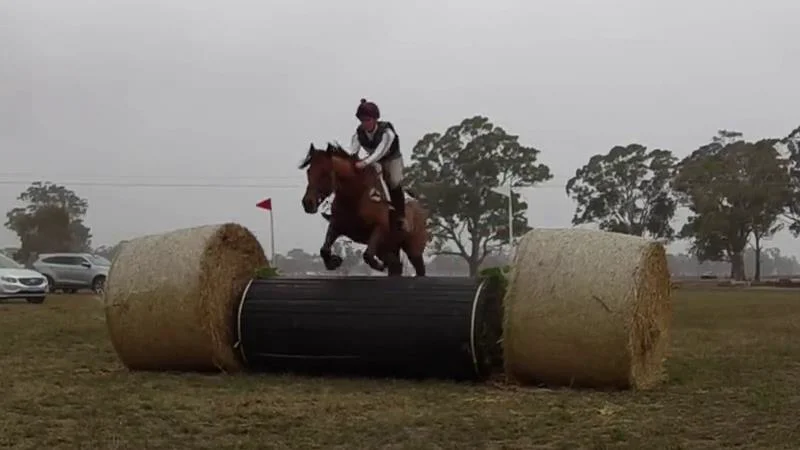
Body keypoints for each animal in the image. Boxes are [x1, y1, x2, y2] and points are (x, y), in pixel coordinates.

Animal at [296, 142, 428, 276]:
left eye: (325, 173)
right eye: (308, 172)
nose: (307, 203)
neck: (356, 195)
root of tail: (419, 207)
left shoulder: (380, 228)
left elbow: (368, 255)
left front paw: (379, 266)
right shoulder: (337, 225)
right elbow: (324, 249)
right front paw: (334, 262)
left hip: (413, 249)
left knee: (417, 268)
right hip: (387, 246)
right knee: (395, 265)